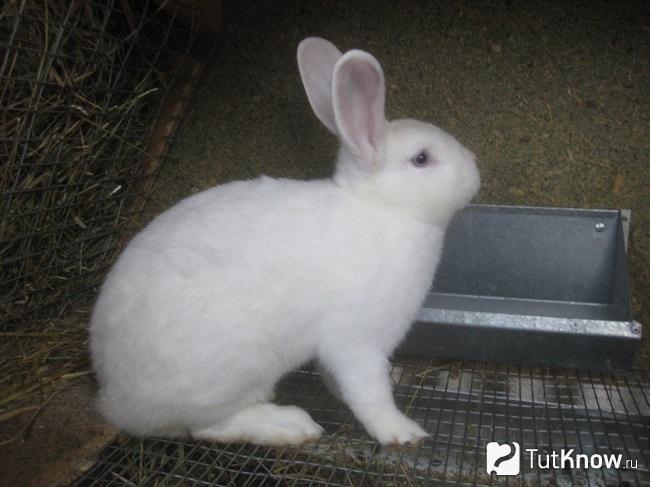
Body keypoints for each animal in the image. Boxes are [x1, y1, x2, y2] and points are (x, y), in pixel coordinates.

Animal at [89, 37, 480, 447]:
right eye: (422, 158)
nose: (475, 165)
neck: (381, 209)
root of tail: (113, 401)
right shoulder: (356, 343)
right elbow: (370, 395)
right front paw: (404, 433)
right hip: (235, 367)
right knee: (207, 426)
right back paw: (292, 426)